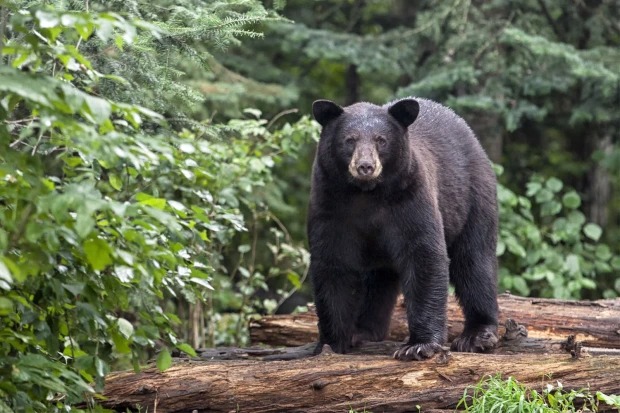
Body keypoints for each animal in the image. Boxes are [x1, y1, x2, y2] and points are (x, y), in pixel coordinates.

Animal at [308, 97, 498, 360]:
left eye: (381, 140)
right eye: (349, 140)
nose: (365, 166)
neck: (366, 194)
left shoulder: (409, 198)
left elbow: (424, 254)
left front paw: (419, 345)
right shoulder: (329, 205)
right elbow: (332, 264)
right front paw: (331, 343)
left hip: (472, 198)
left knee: (474, 261)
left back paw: (477, 334)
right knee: (377, 279)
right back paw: (363, 331)